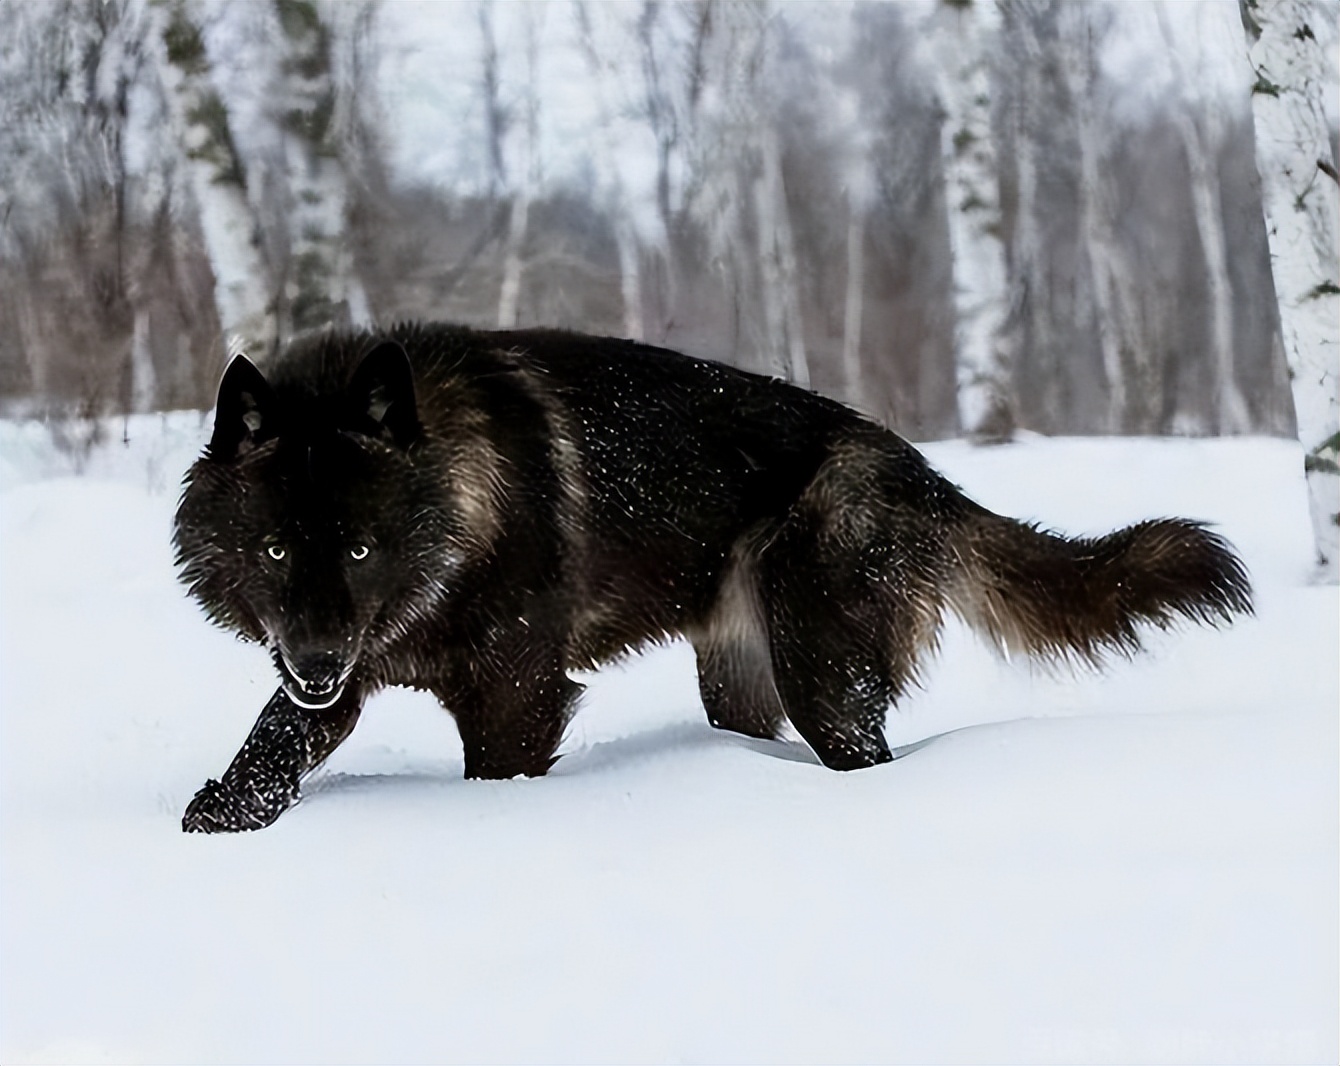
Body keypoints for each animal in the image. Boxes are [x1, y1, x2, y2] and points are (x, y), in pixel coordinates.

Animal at [172, 325, 1248, 830]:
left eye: (361, 549)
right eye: (275, 552)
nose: (317, 661)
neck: (460, 500)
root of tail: (918, 469)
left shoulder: (516, 697)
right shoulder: (334, 676)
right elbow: (272, 744)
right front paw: (219, 819)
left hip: (824, 683)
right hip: (739, 683)